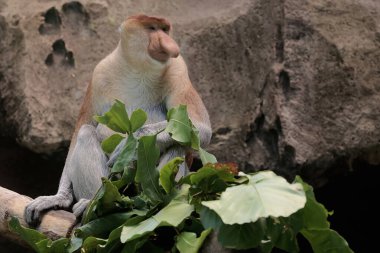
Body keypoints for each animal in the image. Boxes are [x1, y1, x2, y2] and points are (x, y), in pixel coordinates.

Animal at [25, 14, 212, 226]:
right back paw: (97, 204)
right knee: (86, 133)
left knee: (177, 144)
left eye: (165, 29)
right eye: (152, 28)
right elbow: (83, 126)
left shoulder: (178, 70)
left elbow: (200, 129)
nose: (169, 42)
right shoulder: (100, 73)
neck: (139, 69)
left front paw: (129, 146)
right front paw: (59, 197)